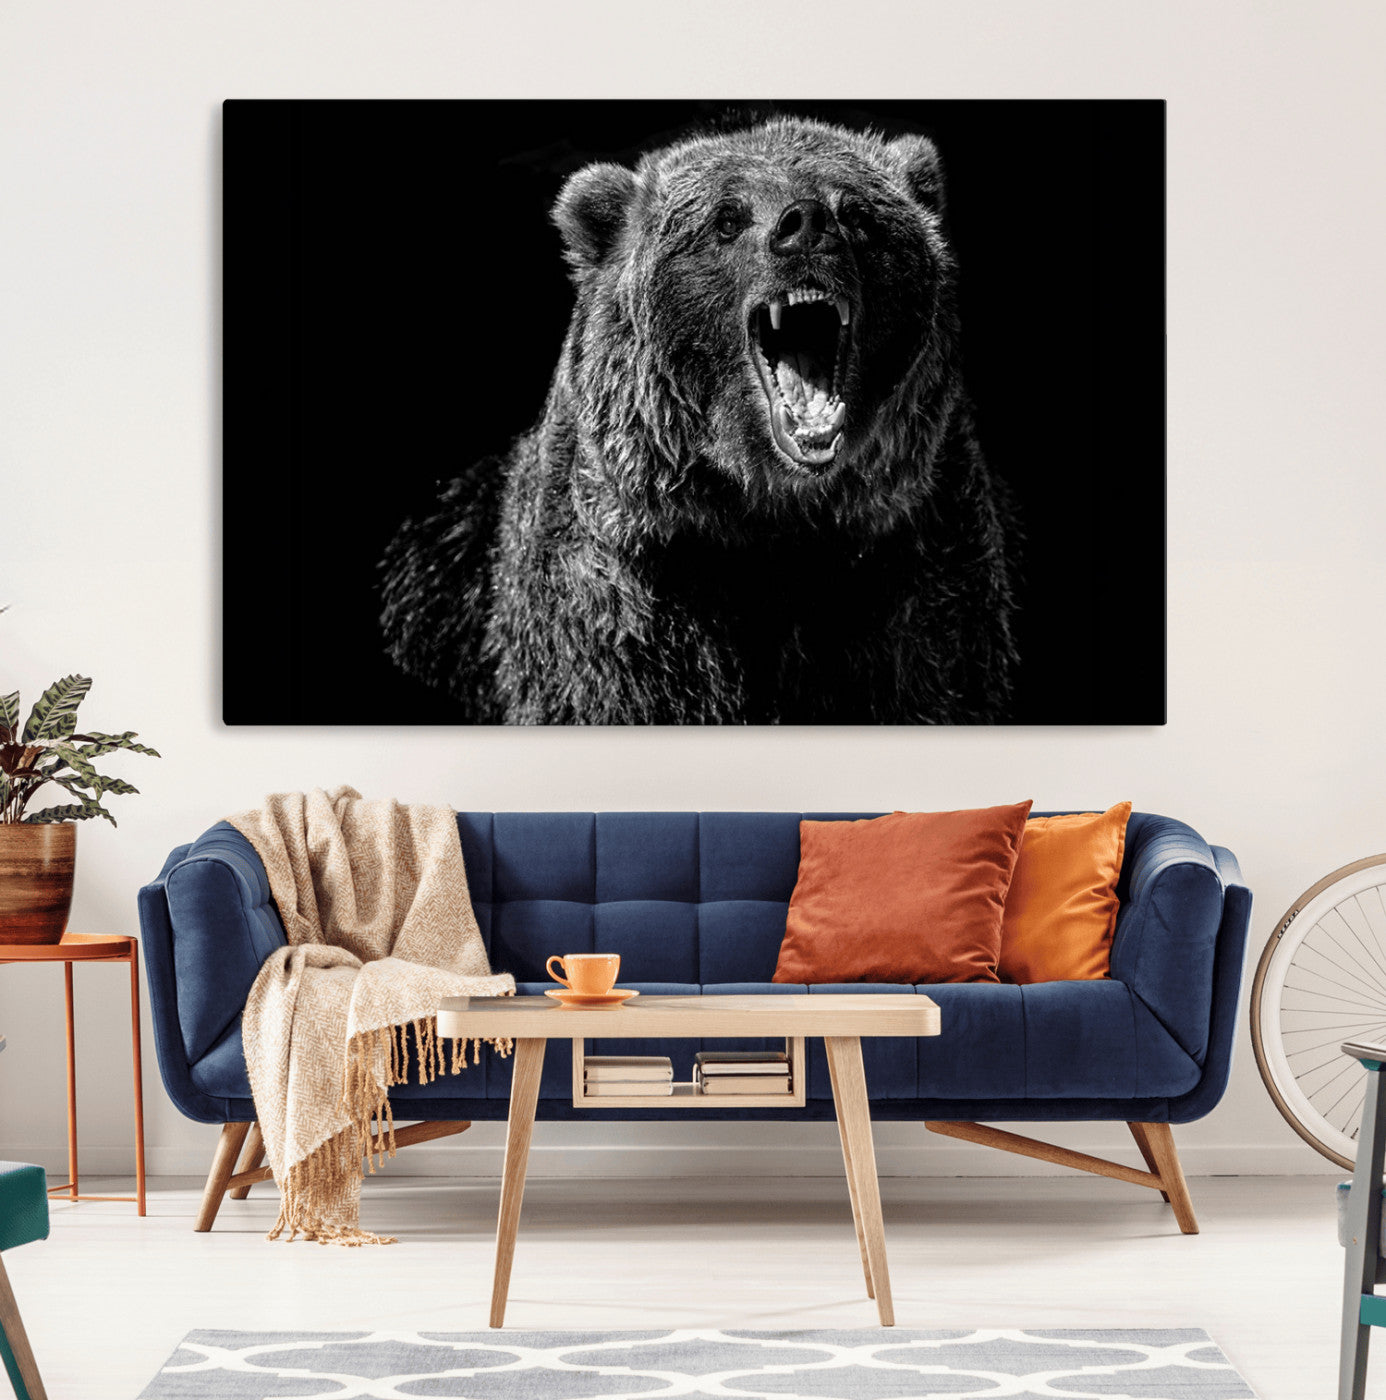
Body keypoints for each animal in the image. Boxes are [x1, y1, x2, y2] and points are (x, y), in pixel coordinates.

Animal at [379, 116, 1018, 724]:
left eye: (856, 212)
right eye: (727, 219)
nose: (806, 225)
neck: (770, 515)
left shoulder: (912, 571)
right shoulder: (629, 597)